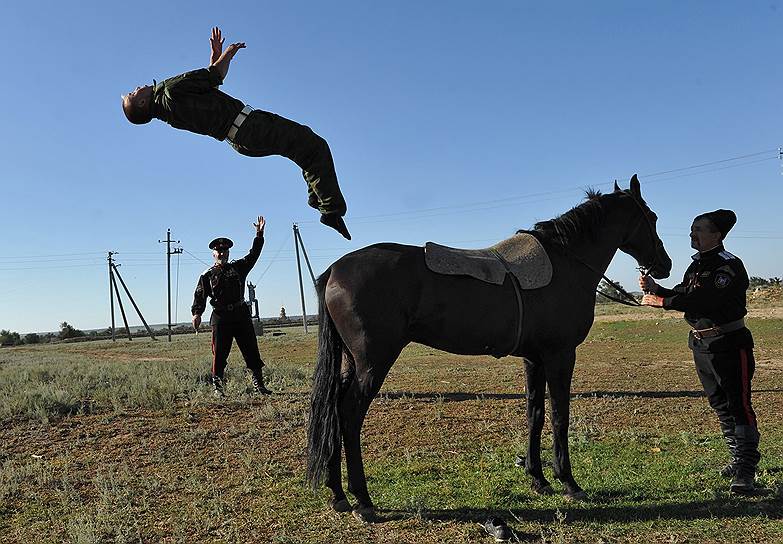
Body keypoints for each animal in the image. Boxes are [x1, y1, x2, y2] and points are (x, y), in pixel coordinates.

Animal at [306, 175, 672, 520]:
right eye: (652, 217)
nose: (665, 265)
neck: (565, 263)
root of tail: (335, 270)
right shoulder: (560, 355)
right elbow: (559, 416)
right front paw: (568, 482)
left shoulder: (534, 359)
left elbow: (535, 414)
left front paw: (538, 479)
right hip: (373, 363)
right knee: (349, 415)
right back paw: (363, 500)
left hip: (353, 363)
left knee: (334, 412)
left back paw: (338, 494)